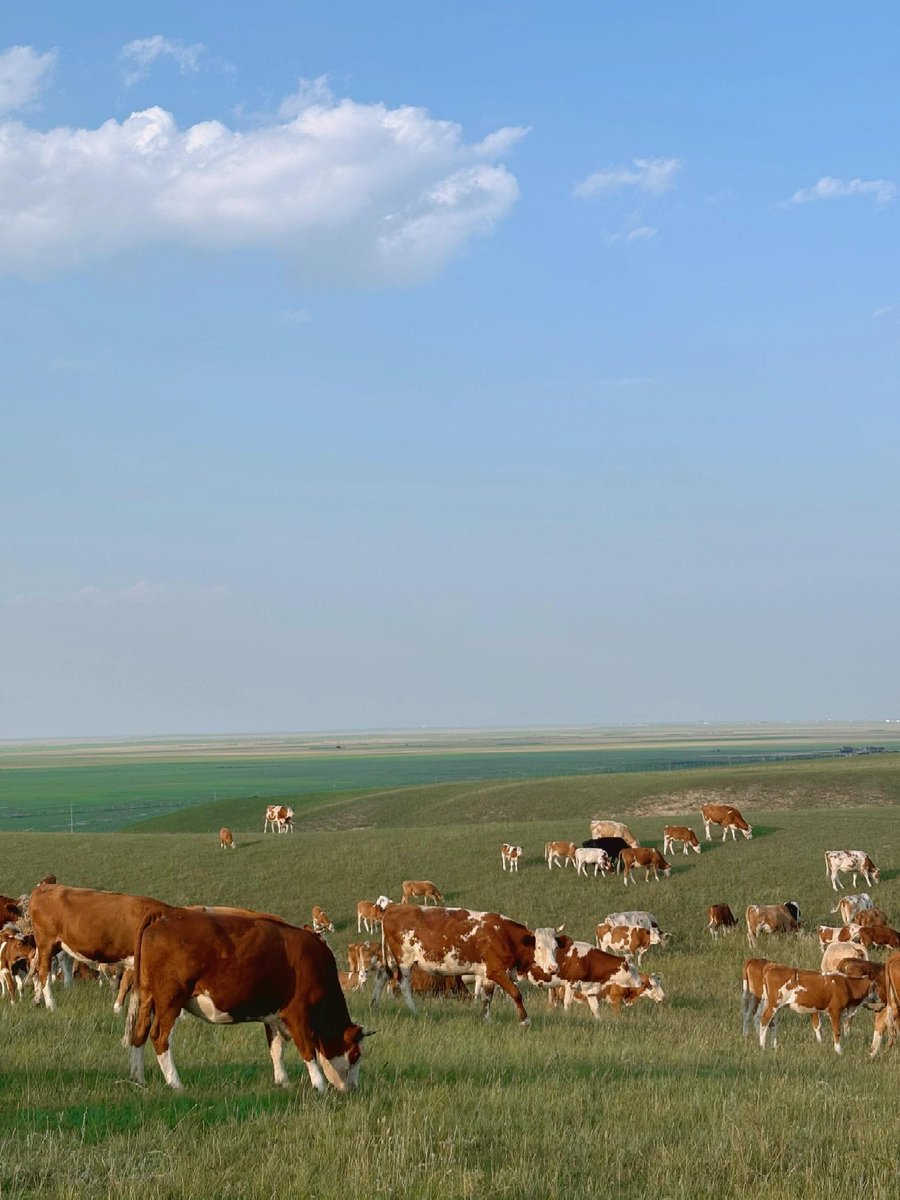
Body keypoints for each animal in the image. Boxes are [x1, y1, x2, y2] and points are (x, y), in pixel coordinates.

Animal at [28, 880, 176, 1011]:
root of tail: (43, 888)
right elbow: (127, 984)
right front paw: (119, 1010)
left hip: (52, 946)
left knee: (36, 968)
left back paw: (37, 1000)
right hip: (46, 943)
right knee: (44, 971)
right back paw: (52, 1006)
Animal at [125, 906, 371, 1091]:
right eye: (356, 1054)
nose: (354, 1088)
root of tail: (166, 913)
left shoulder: (273, 1016)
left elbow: (276, 1049)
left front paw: (283, 1081)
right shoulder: (297, 1013)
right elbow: (307, 1050)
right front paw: (319, 1085)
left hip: (147, 997)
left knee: (140, 1033)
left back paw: (139, 1079)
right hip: (170, 1000)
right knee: (159, 1037)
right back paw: (176, 1083)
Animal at [375, 905, 560, 1027]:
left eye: (555, 947)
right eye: (539, 947)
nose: (554, 968)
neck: (504, 935)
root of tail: (394, 908)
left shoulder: (487, 974)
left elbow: (487, 997)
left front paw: (487, 1019)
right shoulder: (496, 971)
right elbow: (516, 993)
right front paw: (525, 1020)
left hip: (390, 958)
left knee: (381, 976)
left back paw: (373, 1004)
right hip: (404, 960)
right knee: (403, 984)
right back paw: (414, 1010)